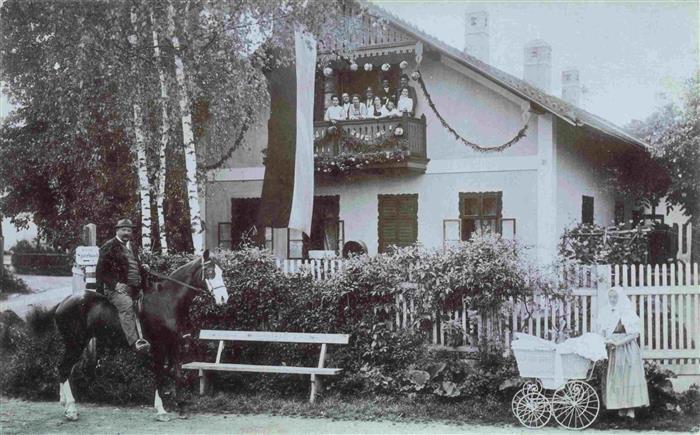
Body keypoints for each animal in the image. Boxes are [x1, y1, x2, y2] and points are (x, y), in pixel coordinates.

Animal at [29, 252, 227, 422]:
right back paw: (70, 409)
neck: (167, 301)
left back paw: (64, 403)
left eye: (221, 272)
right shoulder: (159, 347)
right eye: (210, 272)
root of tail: (63, 302)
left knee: (64, 369)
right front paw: (161, 410)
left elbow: (176, 373)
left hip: (75, 344)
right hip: (75, 343)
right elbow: (160, 374)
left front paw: (181, 406)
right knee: (63, 369)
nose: (224, 298)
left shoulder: (174, 345)